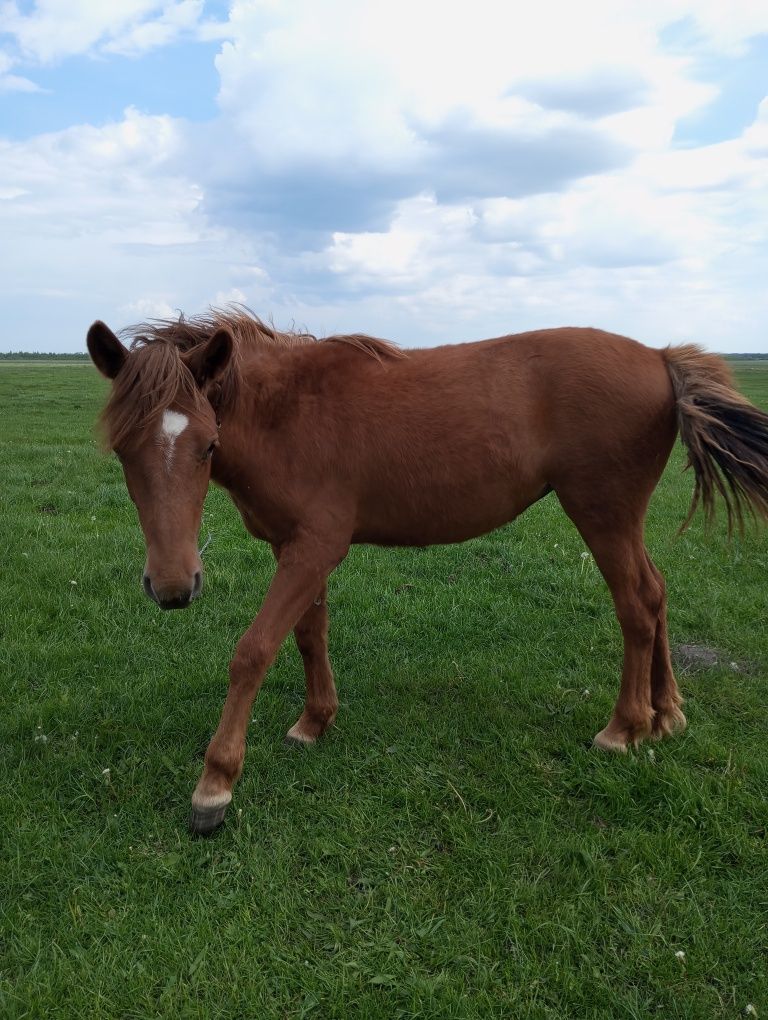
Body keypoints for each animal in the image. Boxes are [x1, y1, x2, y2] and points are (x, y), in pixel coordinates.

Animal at [85, 312, 766, 836]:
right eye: (122, 450)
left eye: (206, 444)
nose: (173, 587)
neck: (289, 412)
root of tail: (658, 356)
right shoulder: (297, 550)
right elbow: (309, 637)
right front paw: (315, 721)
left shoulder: (314, 550)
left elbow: (252, 651)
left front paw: (215, 784)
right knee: (657, 593)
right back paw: (666, 713)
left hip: (603, 514)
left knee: (636, 604)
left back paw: (625, 727)